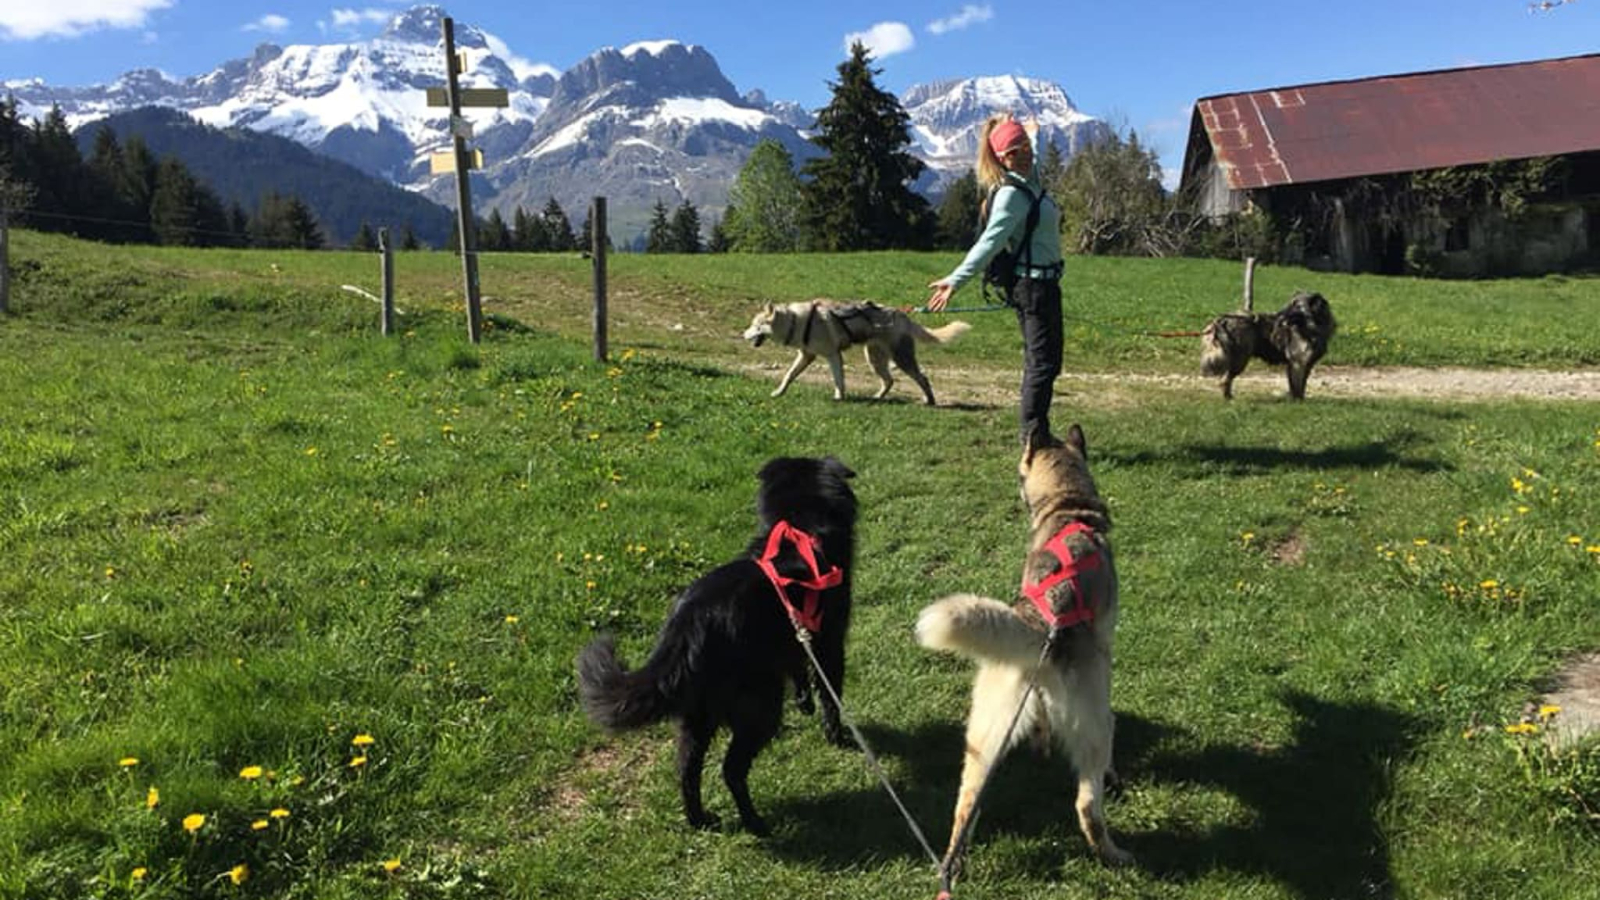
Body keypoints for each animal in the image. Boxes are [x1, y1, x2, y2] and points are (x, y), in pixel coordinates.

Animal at [572, 454, 851, 832]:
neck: (801, 525)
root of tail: (689, 624)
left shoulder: (795, 639)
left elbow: (798, 670)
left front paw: (805, 702)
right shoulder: (829, 642)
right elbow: (830, 696)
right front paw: (837, 735)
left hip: (696, 716)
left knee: (686, 770)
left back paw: (700, 820)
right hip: (758, 708)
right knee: (731, 769)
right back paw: (755, 824)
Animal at [1203, 288, 1337, 397]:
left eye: (1297, 305)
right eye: (1290, 304)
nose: (1279, 315)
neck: (1313, 327)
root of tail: (1224, 319)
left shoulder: (1305, 364)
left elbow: (1300, 385)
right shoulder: (1297, 363)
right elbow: (1297, 386)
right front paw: (1298, 402)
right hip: (1240, 360)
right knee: (1225, 379)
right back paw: (1228, 398)